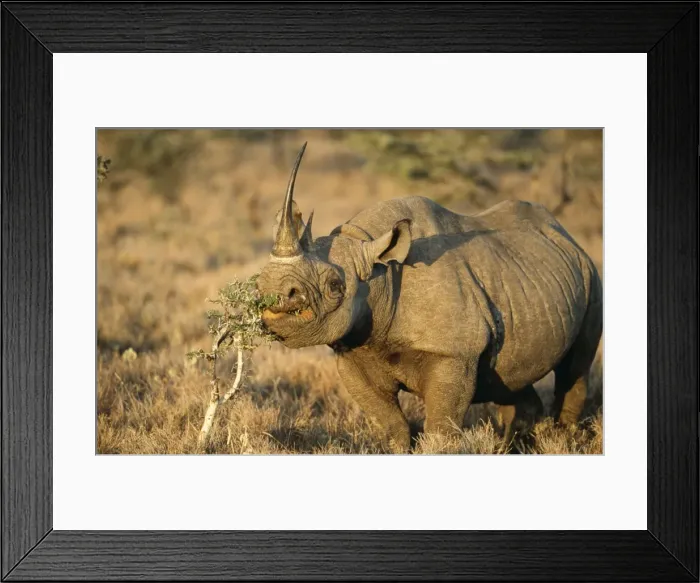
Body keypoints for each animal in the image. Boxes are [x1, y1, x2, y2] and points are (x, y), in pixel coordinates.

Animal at [256, 143, 603, 452]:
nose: (271, 292)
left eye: (334, 286)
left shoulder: (454, 353)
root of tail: (567, 237)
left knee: (575, 369)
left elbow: (440, 429)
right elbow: (392, 426)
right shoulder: (352, 352)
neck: (380, 275)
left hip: (591, 278)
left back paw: (563, 441)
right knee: (508, 380)